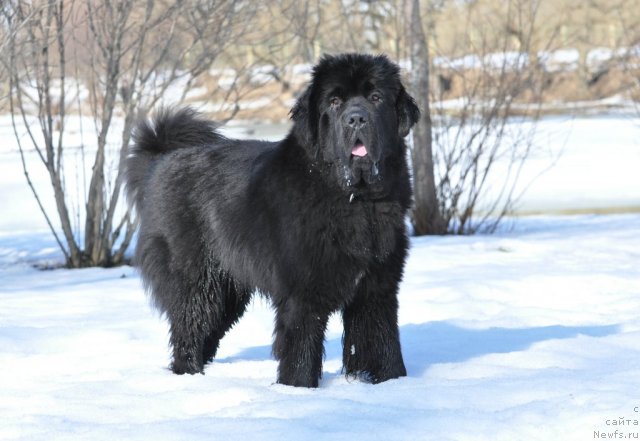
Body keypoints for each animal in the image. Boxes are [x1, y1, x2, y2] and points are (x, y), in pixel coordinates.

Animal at [125, 53, 420, 386]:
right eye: (334, 102)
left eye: (375, 98)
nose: (356, 118)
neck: (357, 200)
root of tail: (162, 160)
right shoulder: (302, 294)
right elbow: (301, 348)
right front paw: (297, 389)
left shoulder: (378, 286)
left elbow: (383, 343)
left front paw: (393, 383)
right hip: (198, 281)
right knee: (189, 327)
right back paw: (187, 376)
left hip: (228, 290)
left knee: (206, 332)